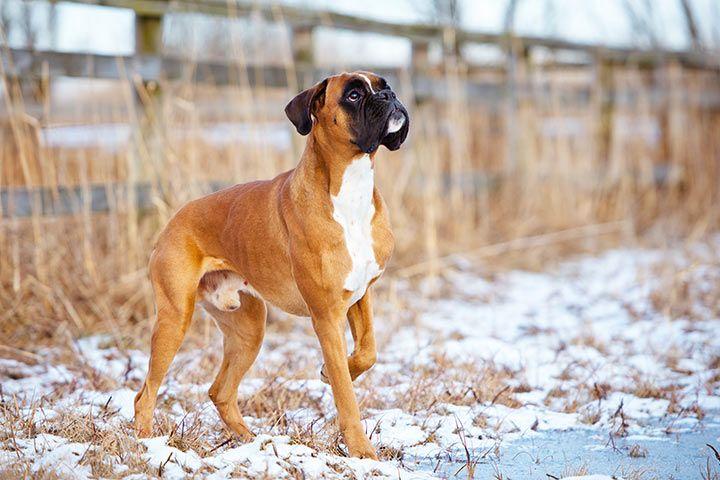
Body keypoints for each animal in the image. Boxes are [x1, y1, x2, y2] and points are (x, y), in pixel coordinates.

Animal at [132, 70, 408, 458]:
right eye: (354, 95)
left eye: (383, 85)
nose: (389, 96)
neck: (349, 187)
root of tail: (174, 220)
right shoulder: (327, 317)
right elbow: (345, 394)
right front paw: (361, 451)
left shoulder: (359, 296)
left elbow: (367, 352)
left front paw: (331, 372)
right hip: (174, 319)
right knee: (145, 393)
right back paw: (144, 443)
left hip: (248, 329)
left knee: (220, 391)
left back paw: (250, 441)